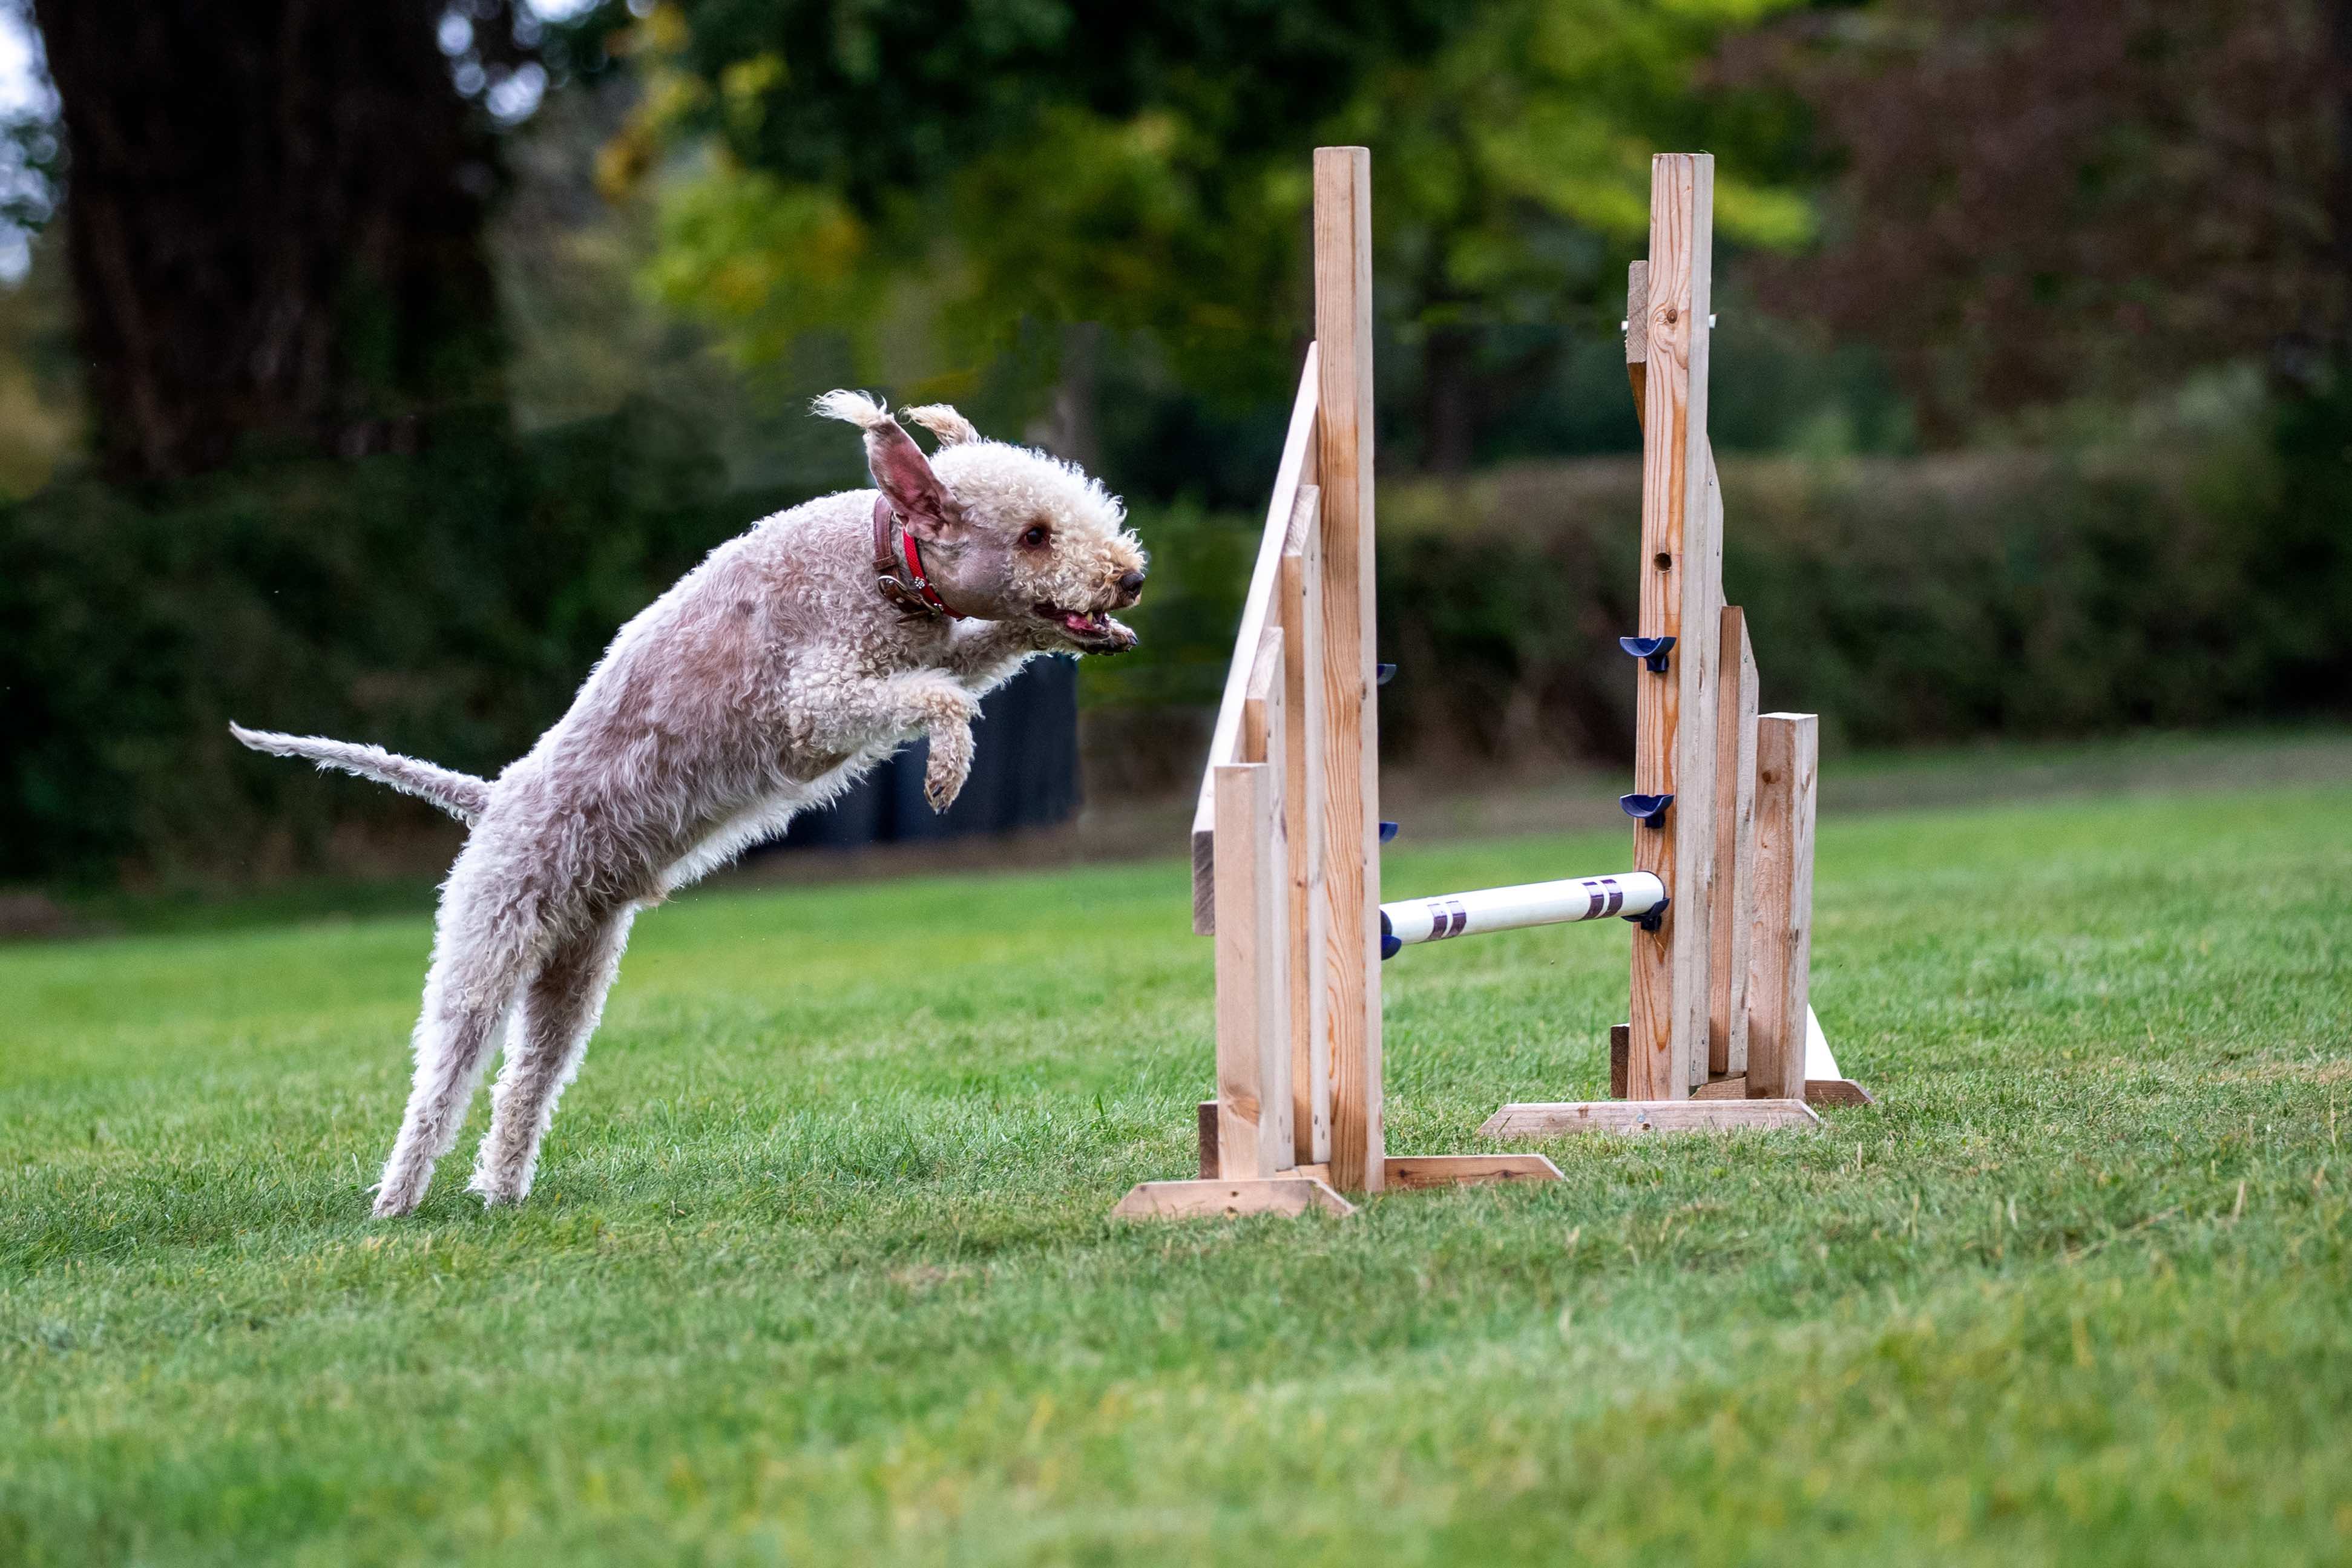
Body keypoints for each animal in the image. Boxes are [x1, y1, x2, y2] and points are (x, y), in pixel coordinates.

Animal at [238, 390, 1148, 1213]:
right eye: (1034, 534)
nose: (1130, 577)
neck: (883, 560)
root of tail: (491, 799)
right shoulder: (815, 702)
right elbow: (943, 701)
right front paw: (947, 773)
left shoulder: (926, 656)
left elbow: (978, 660)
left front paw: (1059, 637)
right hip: (486, 944)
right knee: (441, 1082)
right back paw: (394, 1204)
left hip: (577, 968)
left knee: (524, 1082)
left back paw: (500, 1190)